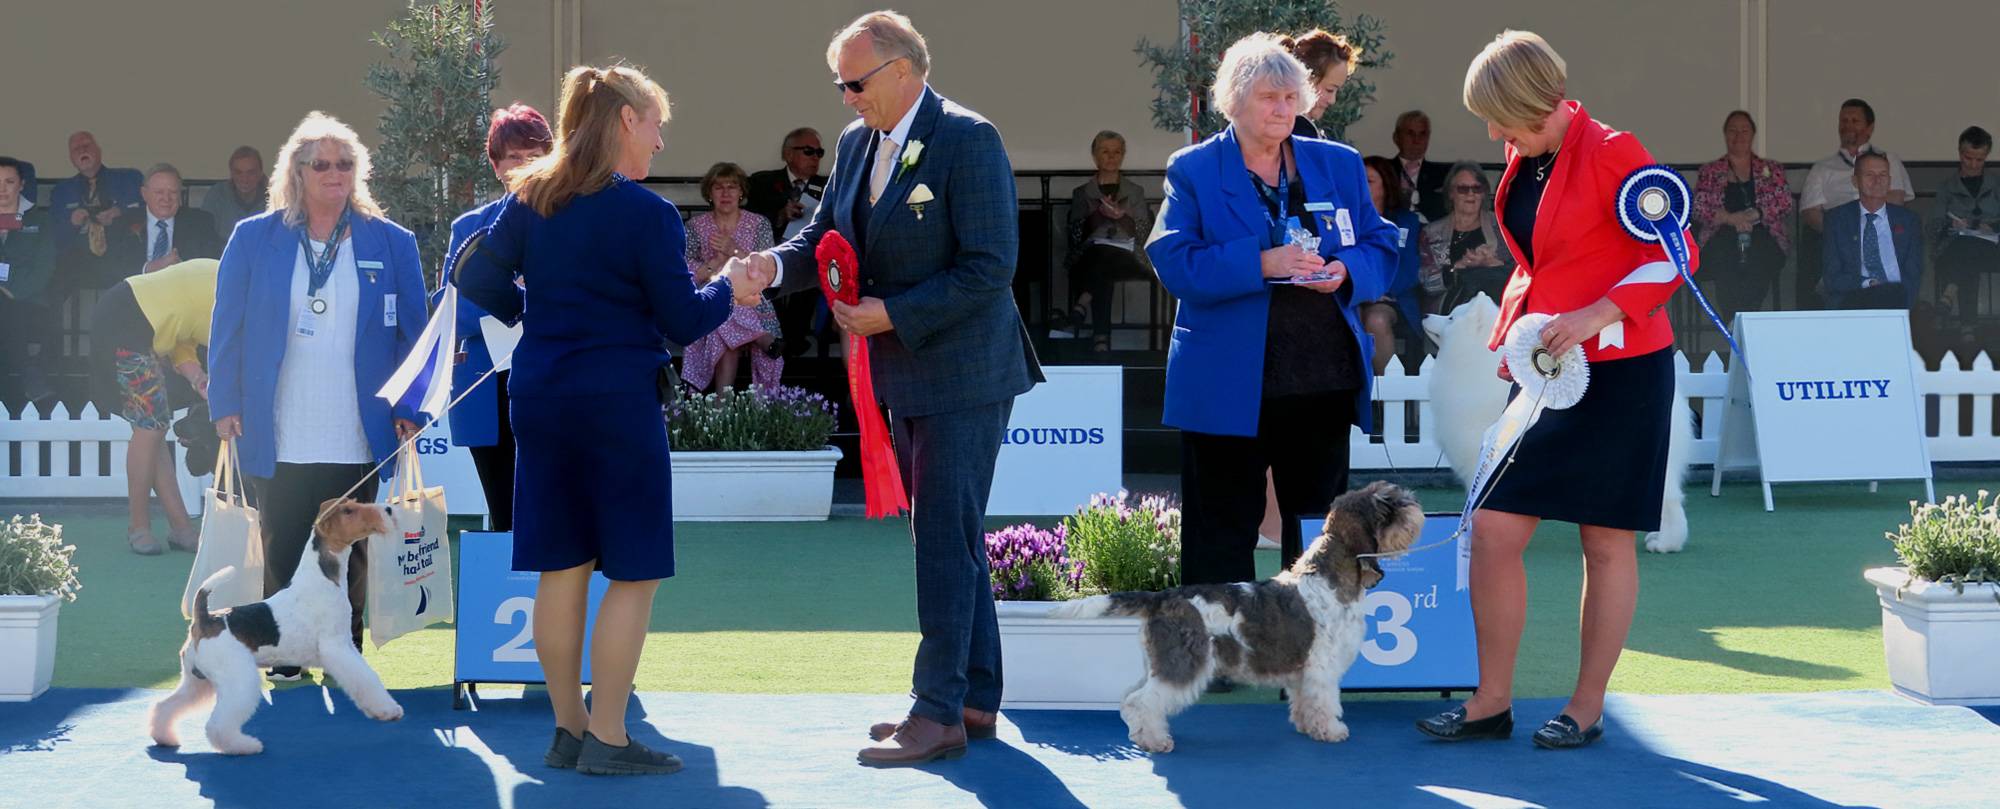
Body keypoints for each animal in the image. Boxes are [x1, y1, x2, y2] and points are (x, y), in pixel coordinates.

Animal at [149, 496, 406, 756]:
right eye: (349, 511)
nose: (388, 509)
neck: (322, 578)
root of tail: (205, 618)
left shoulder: (344, 645)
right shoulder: (337, 647)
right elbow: (366, 679)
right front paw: (388, 710)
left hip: (196, 680)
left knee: (165, 706)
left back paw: (165, 737)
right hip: (237, 678)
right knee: (217, 725)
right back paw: (245, 745)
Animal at [1048, 480, 1424, 752]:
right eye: (1388, 504)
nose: (1416, 507)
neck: (1328, 575)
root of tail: (1163, 598)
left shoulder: (1304, 671)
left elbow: (1304, 701)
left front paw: (1308, 727)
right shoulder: (1323, 667)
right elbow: (1325, 701)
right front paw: (1332, 731)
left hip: (1164, 661)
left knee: (1132, 699)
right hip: (1184, 663)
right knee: (1140, 701)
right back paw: (1155, 741)